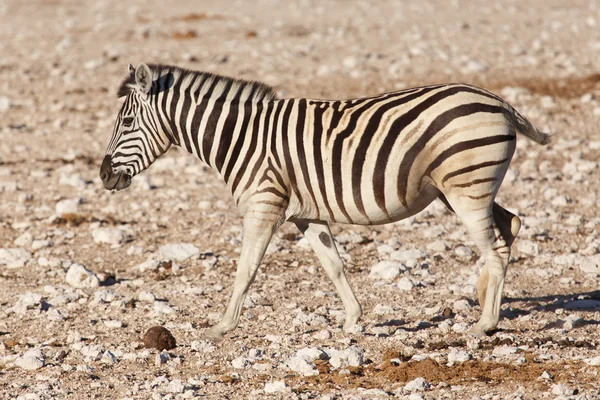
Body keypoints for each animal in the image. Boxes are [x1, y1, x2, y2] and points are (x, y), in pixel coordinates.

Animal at [101, 62, 552, 338]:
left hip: (466, 188)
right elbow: (333, 266)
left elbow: (245, 270)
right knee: (510, 226)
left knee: (494, 245)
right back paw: (485, 301)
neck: (241, 138)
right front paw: (353, 320)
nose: (103, 175)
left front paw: (222, 326)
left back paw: (486, 324)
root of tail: (499, 102)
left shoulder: (264, 205)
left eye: (127, 121)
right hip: (460, 189)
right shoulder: (306, 215)